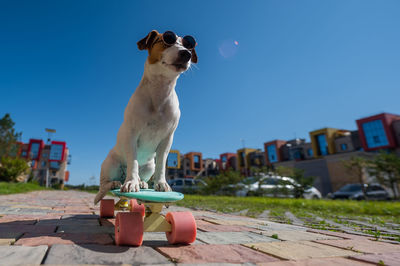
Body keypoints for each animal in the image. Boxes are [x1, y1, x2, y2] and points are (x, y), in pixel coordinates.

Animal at [95, 29, 198, 204]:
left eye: (188, 45)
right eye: (167, 40)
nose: (187, 54)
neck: (160, 91)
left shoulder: (167, 140)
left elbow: (162, 164)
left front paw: (161, 184)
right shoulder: (132, 135)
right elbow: (133, 162)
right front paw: (131, 182)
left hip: (149, 165)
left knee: (144, 172)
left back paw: (142, 182)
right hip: (110, 163)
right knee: (105, 183)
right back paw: (117, 183)